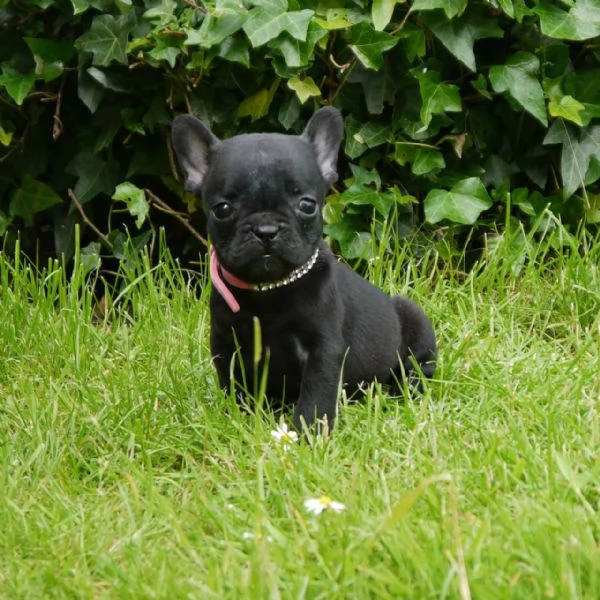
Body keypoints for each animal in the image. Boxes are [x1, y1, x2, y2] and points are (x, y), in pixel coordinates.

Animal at [172, 108, 436, 432]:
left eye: (307, 205)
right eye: (222, 209)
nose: (266, 230)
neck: (268, 290)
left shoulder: (322, 350)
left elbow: (316, 395)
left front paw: (308, 432)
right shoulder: (226, 345)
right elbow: (234, 385)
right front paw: (239, 419)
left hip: (414, 325)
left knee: (416, 369)